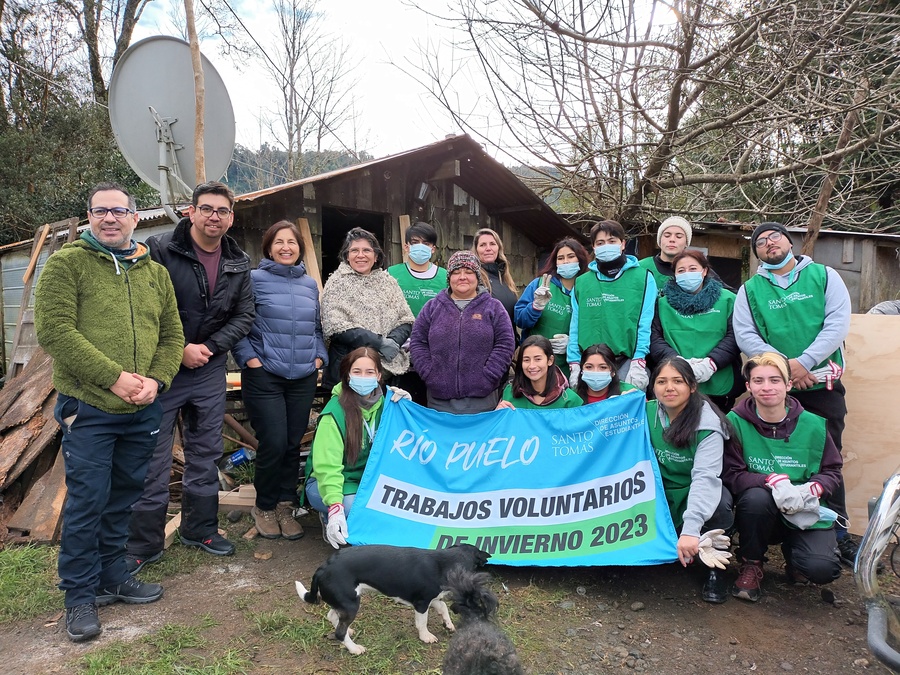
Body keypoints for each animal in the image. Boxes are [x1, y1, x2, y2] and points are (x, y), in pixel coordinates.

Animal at [296, 544, 488, 656]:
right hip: (351, 605)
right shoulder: (422, 603)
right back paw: (354, 649)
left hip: (345, 601)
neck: (445, 562)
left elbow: (443, 608)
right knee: (339, 632)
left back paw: (349, 631)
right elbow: (422, 622)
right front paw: (425, 636)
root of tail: (323, 568)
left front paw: (448, 625)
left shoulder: (431, 598)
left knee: (332, 616)